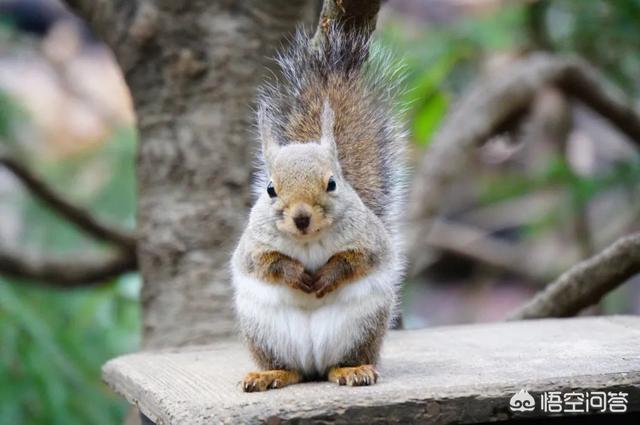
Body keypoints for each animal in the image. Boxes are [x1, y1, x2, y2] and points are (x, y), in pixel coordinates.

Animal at [232, 25, 408, 390]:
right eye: (270, 189)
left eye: (332, 183)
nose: (301, 217)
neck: (308, 240)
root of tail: (312, 362)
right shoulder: (253, 247)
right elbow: (264, 263)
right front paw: (295, 274)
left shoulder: (368, 241)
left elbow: (357, 260)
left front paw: (326, 276)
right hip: (265, 334)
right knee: (292, 370)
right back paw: (270, 374)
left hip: (362, 327)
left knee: (336, 364)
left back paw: (352, 370)